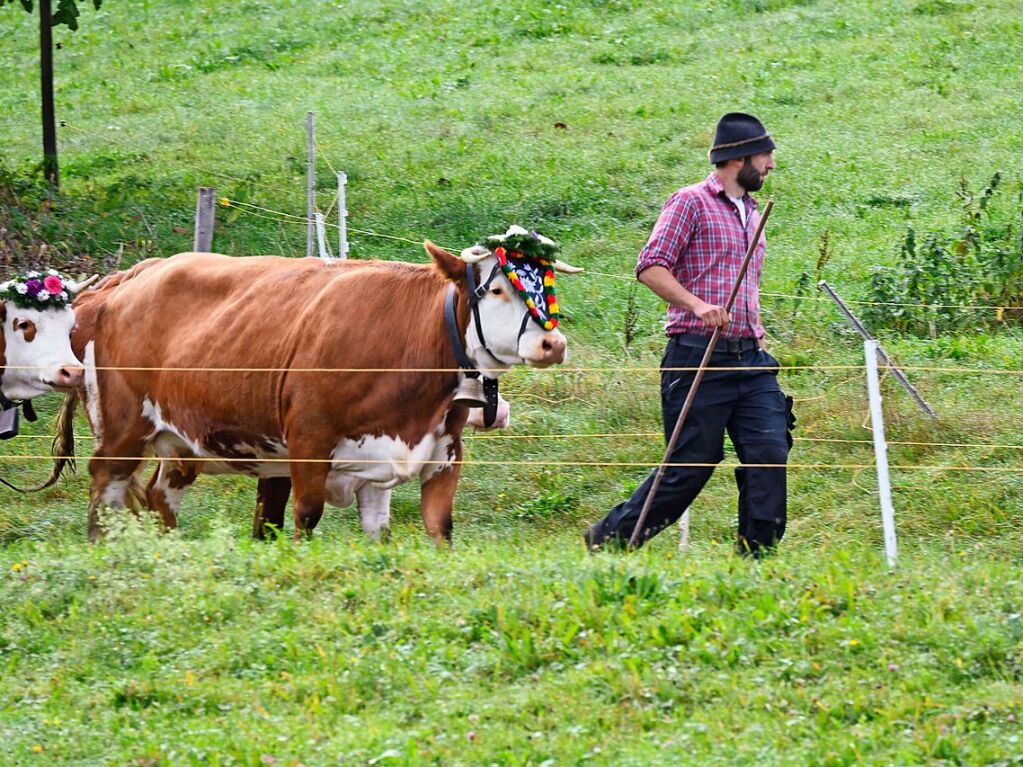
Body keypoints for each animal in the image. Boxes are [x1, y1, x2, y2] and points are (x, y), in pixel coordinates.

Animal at [69, 246, 572, 539]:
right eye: (498, 289)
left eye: (547, 290)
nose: (554, 343)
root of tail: (134, 275)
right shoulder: (308, 442)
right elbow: (305, 517)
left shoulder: (439, 452)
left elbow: (429, 527)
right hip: (123, 427)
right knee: (106, 485)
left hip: (181, 443)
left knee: (161, 496)